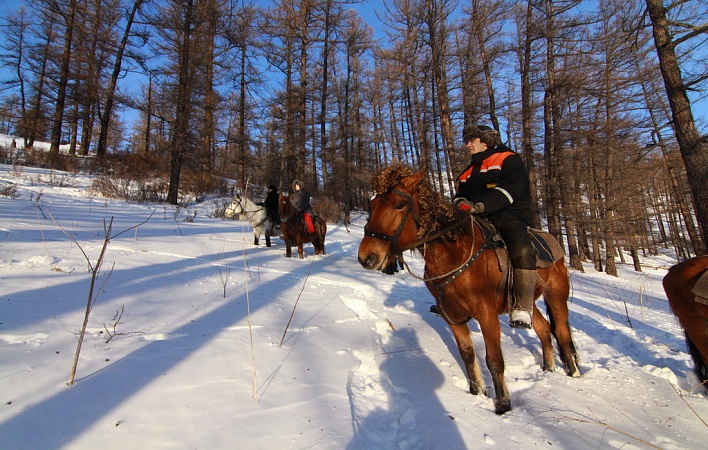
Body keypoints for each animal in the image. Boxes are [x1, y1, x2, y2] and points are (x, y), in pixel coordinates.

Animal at [356, 165, 580, 414]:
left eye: (399, 205)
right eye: (372, 205)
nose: (367, 257)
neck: (453, 254)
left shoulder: (486, 313)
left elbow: (494, 359)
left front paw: (502, 404)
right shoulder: (451, 314)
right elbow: (467, 353)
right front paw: (477, 392)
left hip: (556, 297)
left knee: (562, 332)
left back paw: (573, 372)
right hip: (527, 301)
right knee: (543, 329)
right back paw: (548, 367)